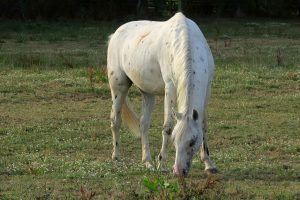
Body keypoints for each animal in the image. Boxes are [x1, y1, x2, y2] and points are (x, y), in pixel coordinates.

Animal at [106, 12, 217, 177]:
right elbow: (167, 127)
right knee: (116, 120)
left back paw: (147, 162)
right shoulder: (170, 88)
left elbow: (203, 126)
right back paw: (116, 157)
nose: (178, 171)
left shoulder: (207, 90)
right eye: (175, 140)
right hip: (118, 86)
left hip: (147, 93)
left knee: (143, 124)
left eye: (192, 141)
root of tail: (115, 34)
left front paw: (209, 164)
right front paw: (163, 165)